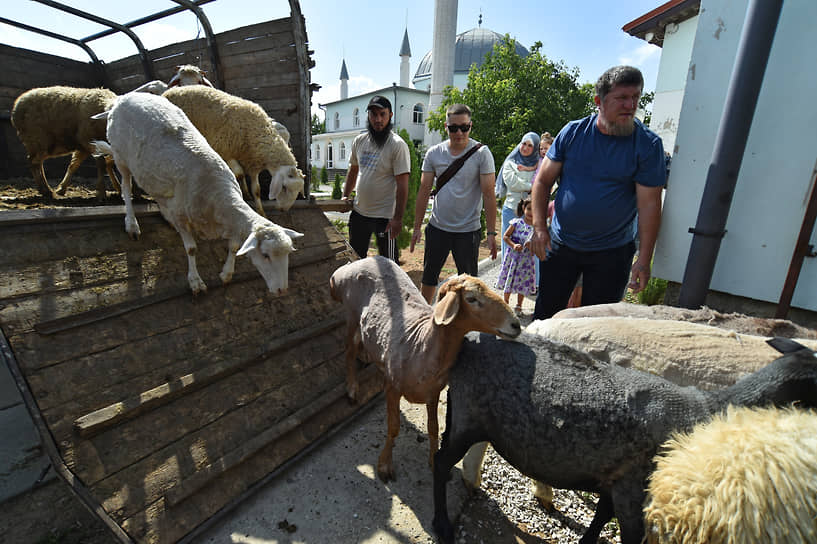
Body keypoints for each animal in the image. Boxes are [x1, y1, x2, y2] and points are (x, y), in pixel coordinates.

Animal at [161, 85, 302, 215]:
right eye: (284, 188)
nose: (284, 210)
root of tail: (170, 90)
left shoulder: (251, 161)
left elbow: (256, 189)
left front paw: (260, 210)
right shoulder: (226, 151)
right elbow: (239, 173)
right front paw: (243, 195)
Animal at [328, 258, 520, 482]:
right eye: (471, 298)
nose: (516, 325)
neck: (423, 343)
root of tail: (356, 263)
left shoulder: (433, 393)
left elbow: (433, 428)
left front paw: (433, 461)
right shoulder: (393, 388)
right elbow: (393, 427)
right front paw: (385, 464)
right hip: (350, 314)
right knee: (349, 351)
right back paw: (352, 389)